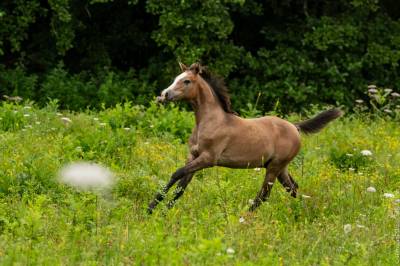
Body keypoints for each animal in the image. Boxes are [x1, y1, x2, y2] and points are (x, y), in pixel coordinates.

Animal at [148, 62, 342, 214]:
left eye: (186, 81)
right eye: (175, 78)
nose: (164, 94)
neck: (211, 121)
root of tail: (295, 127)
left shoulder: (208, 159)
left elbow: (177, 173)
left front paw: (151, 208)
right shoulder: (193, 156)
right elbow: (180, 186)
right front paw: (160, 212)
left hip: (274, 167)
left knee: (264, 195)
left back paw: (244, 218)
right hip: (280, 168)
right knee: (293, 188)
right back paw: (302, 211)